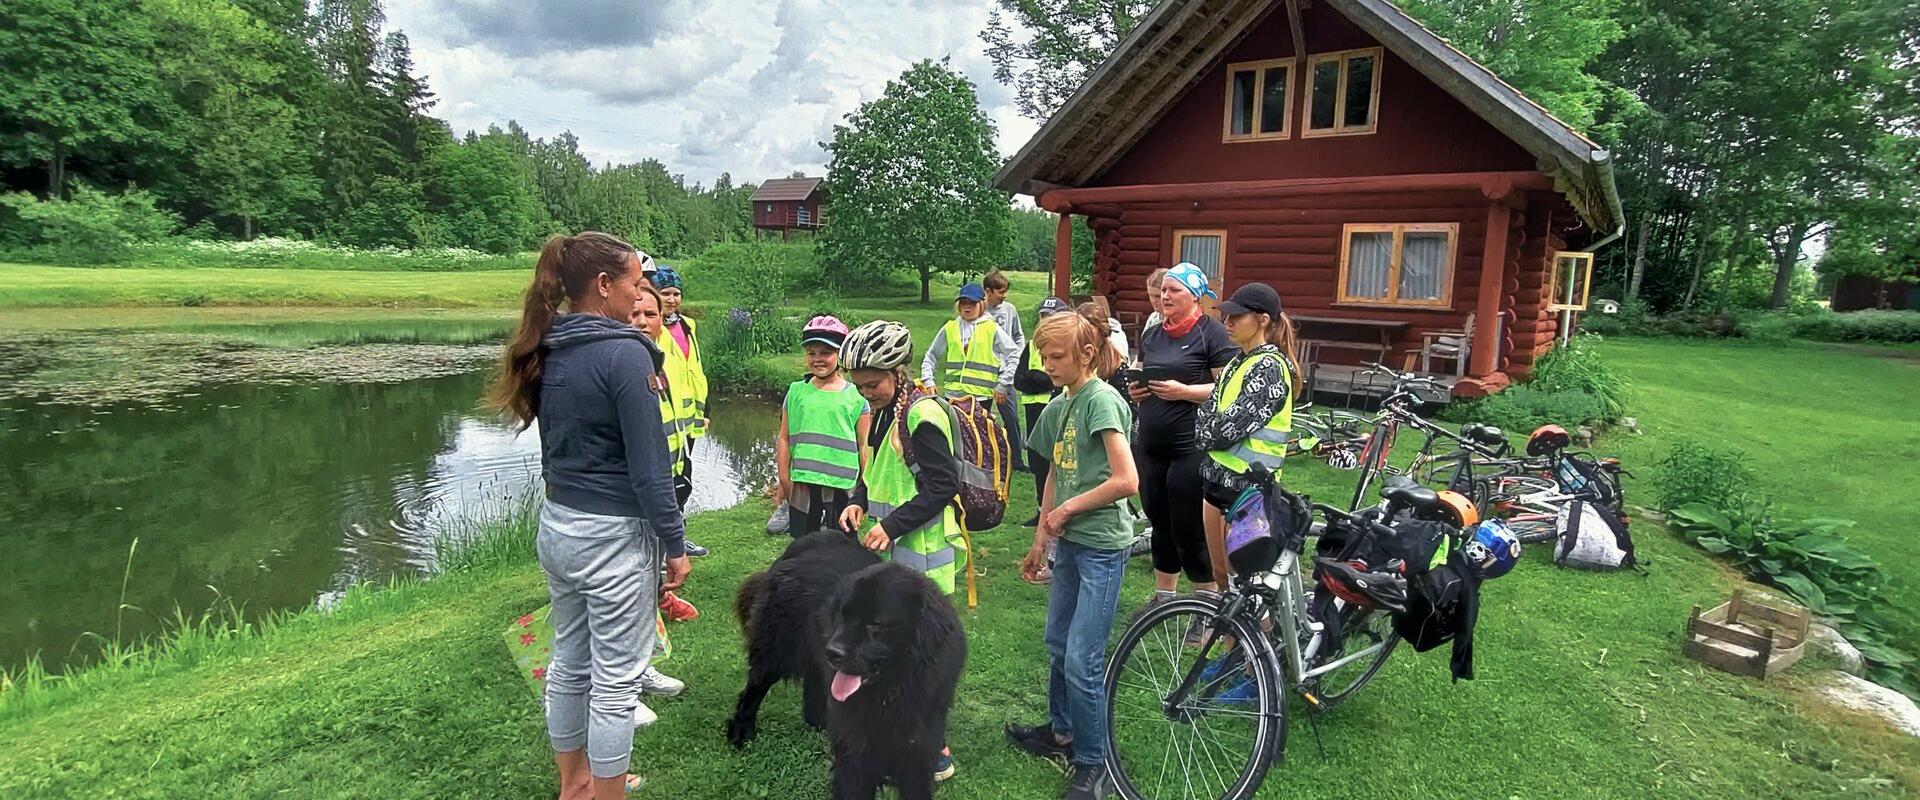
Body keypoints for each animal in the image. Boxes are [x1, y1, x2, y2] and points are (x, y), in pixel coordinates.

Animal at [725, 529, 967, 798]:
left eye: (876, 623)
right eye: (843, 614)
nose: (833, 652)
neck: (890, 691)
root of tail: (802, 543)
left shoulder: (918, 750)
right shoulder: (856, 754)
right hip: (775, 650)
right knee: (754, 689)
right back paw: (741, 731)